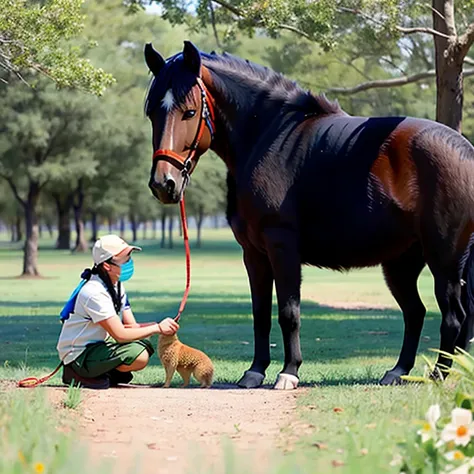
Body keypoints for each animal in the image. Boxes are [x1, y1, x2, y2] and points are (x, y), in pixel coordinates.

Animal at [143, 39, 474, 388]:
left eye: (190, 112)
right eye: (152, 113)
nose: (164, 184)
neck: (268, 137)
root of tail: (464, 151)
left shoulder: (282, 247)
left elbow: (289, 312)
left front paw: (288, 372)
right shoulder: (253, 254)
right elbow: (260, 314)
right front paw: (254, 372)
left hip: (444, 259)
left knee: (453, 317)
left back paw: (439, 374)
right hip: (402, 263)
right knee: (415, 312)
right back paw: (398, 372)